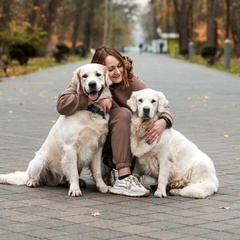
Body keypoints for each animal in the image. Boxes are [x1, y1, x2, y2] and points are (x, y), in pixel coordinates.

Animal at [0, 63, 112, 197]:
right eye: (84, 76)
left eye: (98, 74)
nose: (92, 84)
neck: (92, 110)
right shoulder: (70, 147)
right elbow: (73, 172)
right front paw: (75, 189)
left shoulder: (97, 147)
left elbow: (97, 171)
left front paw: (102, 186)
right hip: (39, 160)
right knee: (33, 176)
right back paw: (33, 182)